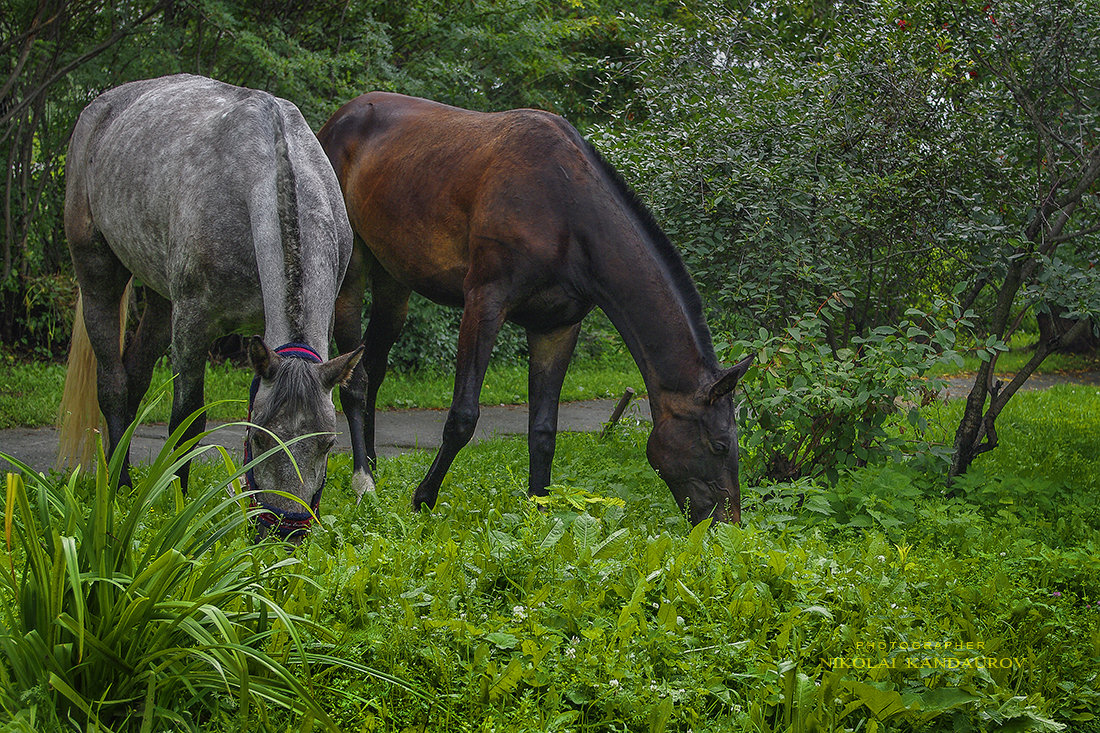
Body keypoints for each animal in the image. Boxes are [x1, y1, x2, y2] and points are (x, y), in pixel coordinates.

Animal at [58, 75, 360, 537]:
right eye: (258, 439)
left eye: (327, 443)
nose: (285, 533)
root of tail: (101, 105)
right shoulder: (193, 323)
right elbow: (187, 421)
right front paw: (181, 505)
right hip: (98, 277)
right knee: (112, 382)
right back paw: (118, 482)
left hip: (161, 301)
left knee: (134, 375)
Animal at [314, 93, 752, 526]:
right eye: (719, 445)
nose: (727, 522)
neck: (566, 211)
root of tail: (337, 120)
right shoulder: (485, 301)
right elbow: (462, 416)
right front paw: (423, 498)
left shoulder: (557, 326)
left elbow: (543, 429)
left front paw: (538, 509)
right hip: (352, 270)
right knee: (355, 379)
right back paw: (362, 481)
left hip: (393, 279)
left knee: (374, 364)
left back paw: (373, 465)